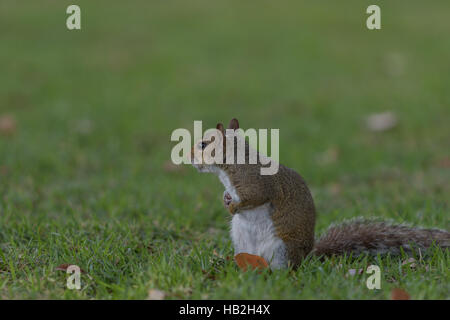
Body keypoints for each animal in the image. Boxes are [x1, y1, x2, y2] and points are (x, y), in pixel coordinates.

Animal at [190, 117, 450, 268]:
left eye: (203, 144)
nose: (190, 157)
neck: (229, 168)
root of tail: (307, 257)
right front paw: (225, 199)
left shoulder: (255, 183)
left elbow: (254, 198)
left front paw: (233, 206)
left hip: (282, 250)